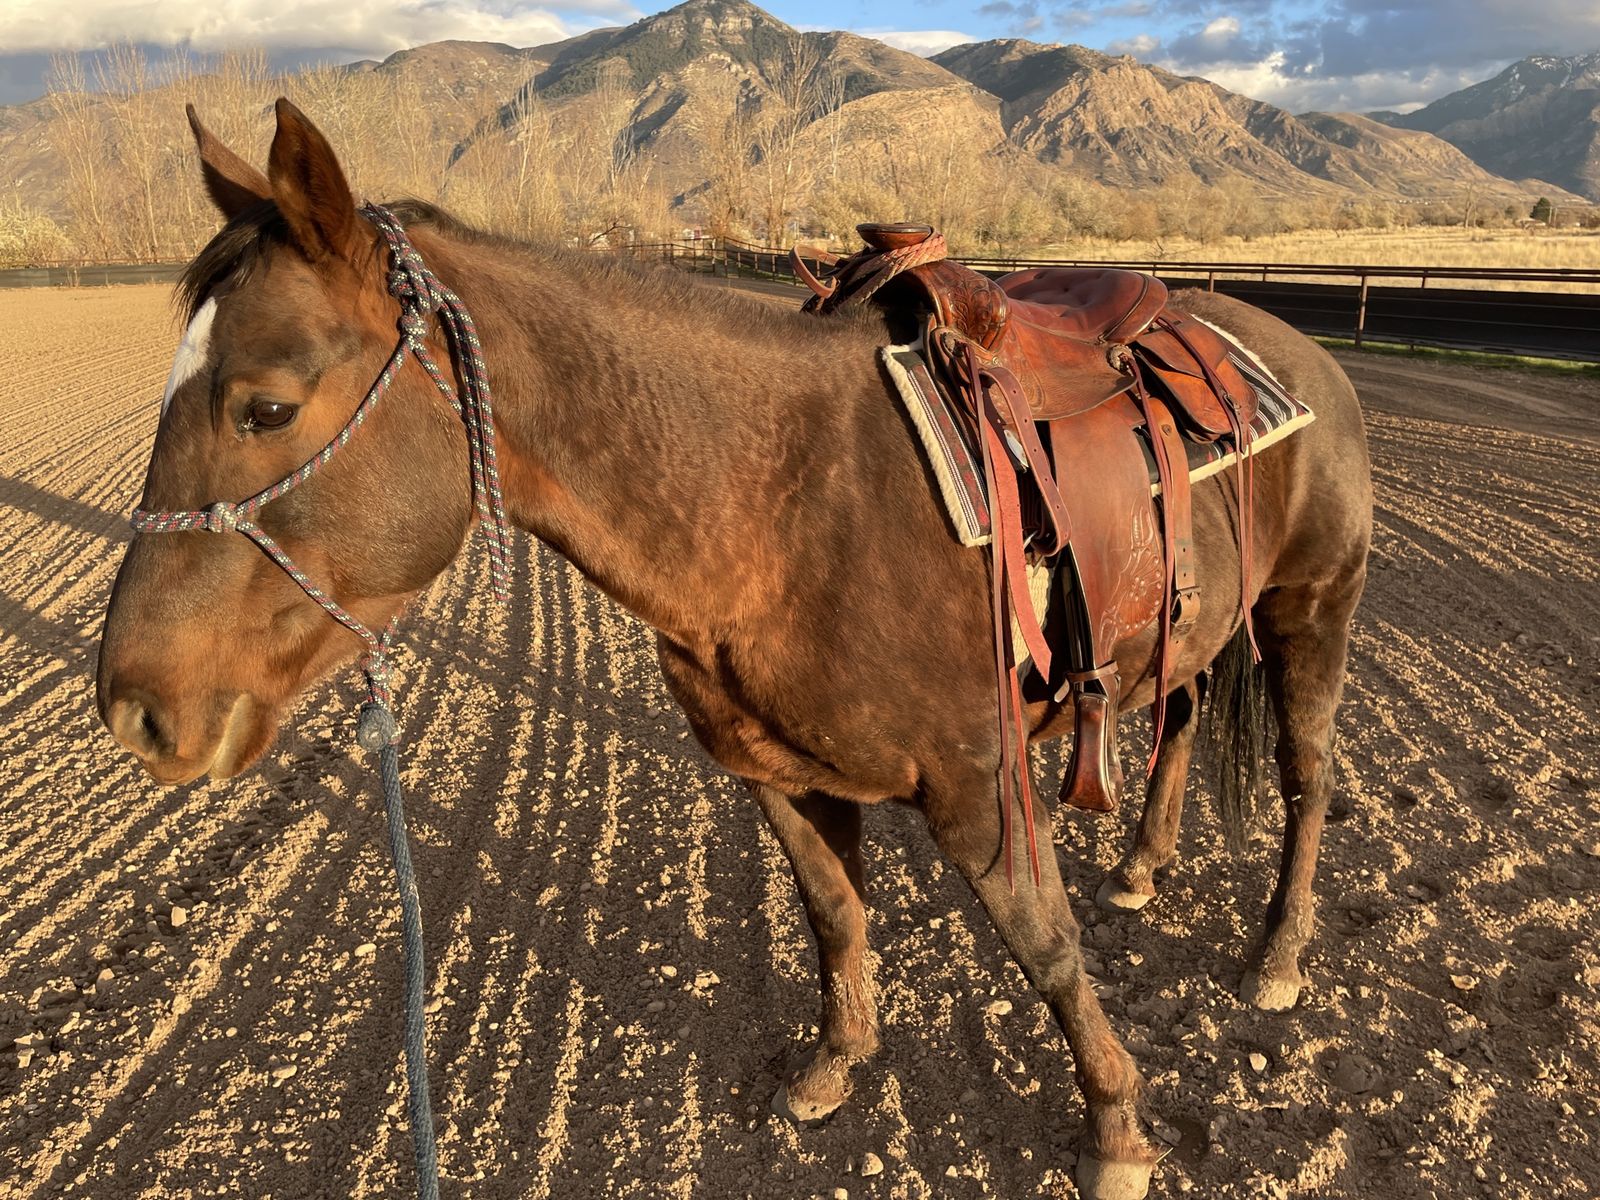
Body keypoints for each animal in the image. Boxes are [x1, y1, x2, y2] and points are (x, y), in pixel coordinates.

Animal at [95, 99, 1372, 1199]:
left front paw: (1114, 1127)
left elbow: (1044, 947)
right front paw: (833, 1068)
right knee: (1183, 712)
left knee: (1306, 778)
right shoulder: (780, 777)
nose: (137, 710)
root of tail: (1289, 348)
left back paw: (1276, 955)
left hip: (1309, 608)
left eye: (265, 407)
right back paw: (1146, 865)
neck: (791, 502)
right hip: (1189, 627)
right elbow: (836, 918)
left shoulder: (982, 786)